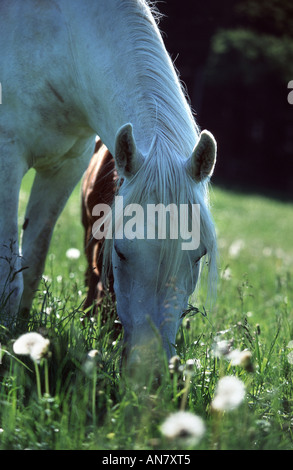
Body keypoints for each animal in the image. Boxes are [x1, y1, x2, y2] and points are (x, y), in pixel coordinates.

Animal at [0, 0, 216, 370]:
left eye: (198, 255)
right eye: (120, 251)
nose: (150, 370)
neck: (65, 41)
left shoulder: (67, 165)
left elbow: (33, 265)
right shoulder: (7, 155)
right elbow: (10, 278)